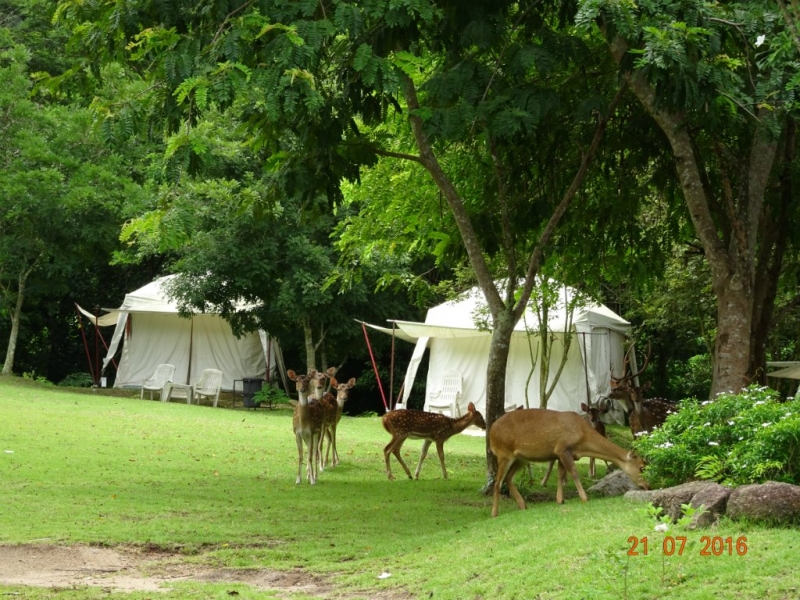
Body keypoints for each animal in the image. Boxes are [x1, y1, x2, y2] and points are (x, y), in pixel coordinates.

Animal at [488, 408, 648, 516]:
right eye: (642, 467)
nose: (647, 486)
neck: (583, 438)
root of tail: (491, 432)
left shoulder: (561, 454)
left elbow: (560, 475)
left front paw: (560, 500)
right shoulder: (562, 448)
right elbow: (574, 473)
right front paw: (584, 498)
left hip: (520, 458)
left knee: (508, 478)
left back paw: (522, 505)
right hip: (504, 454)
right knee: (497, 481)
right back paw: (495, 513)